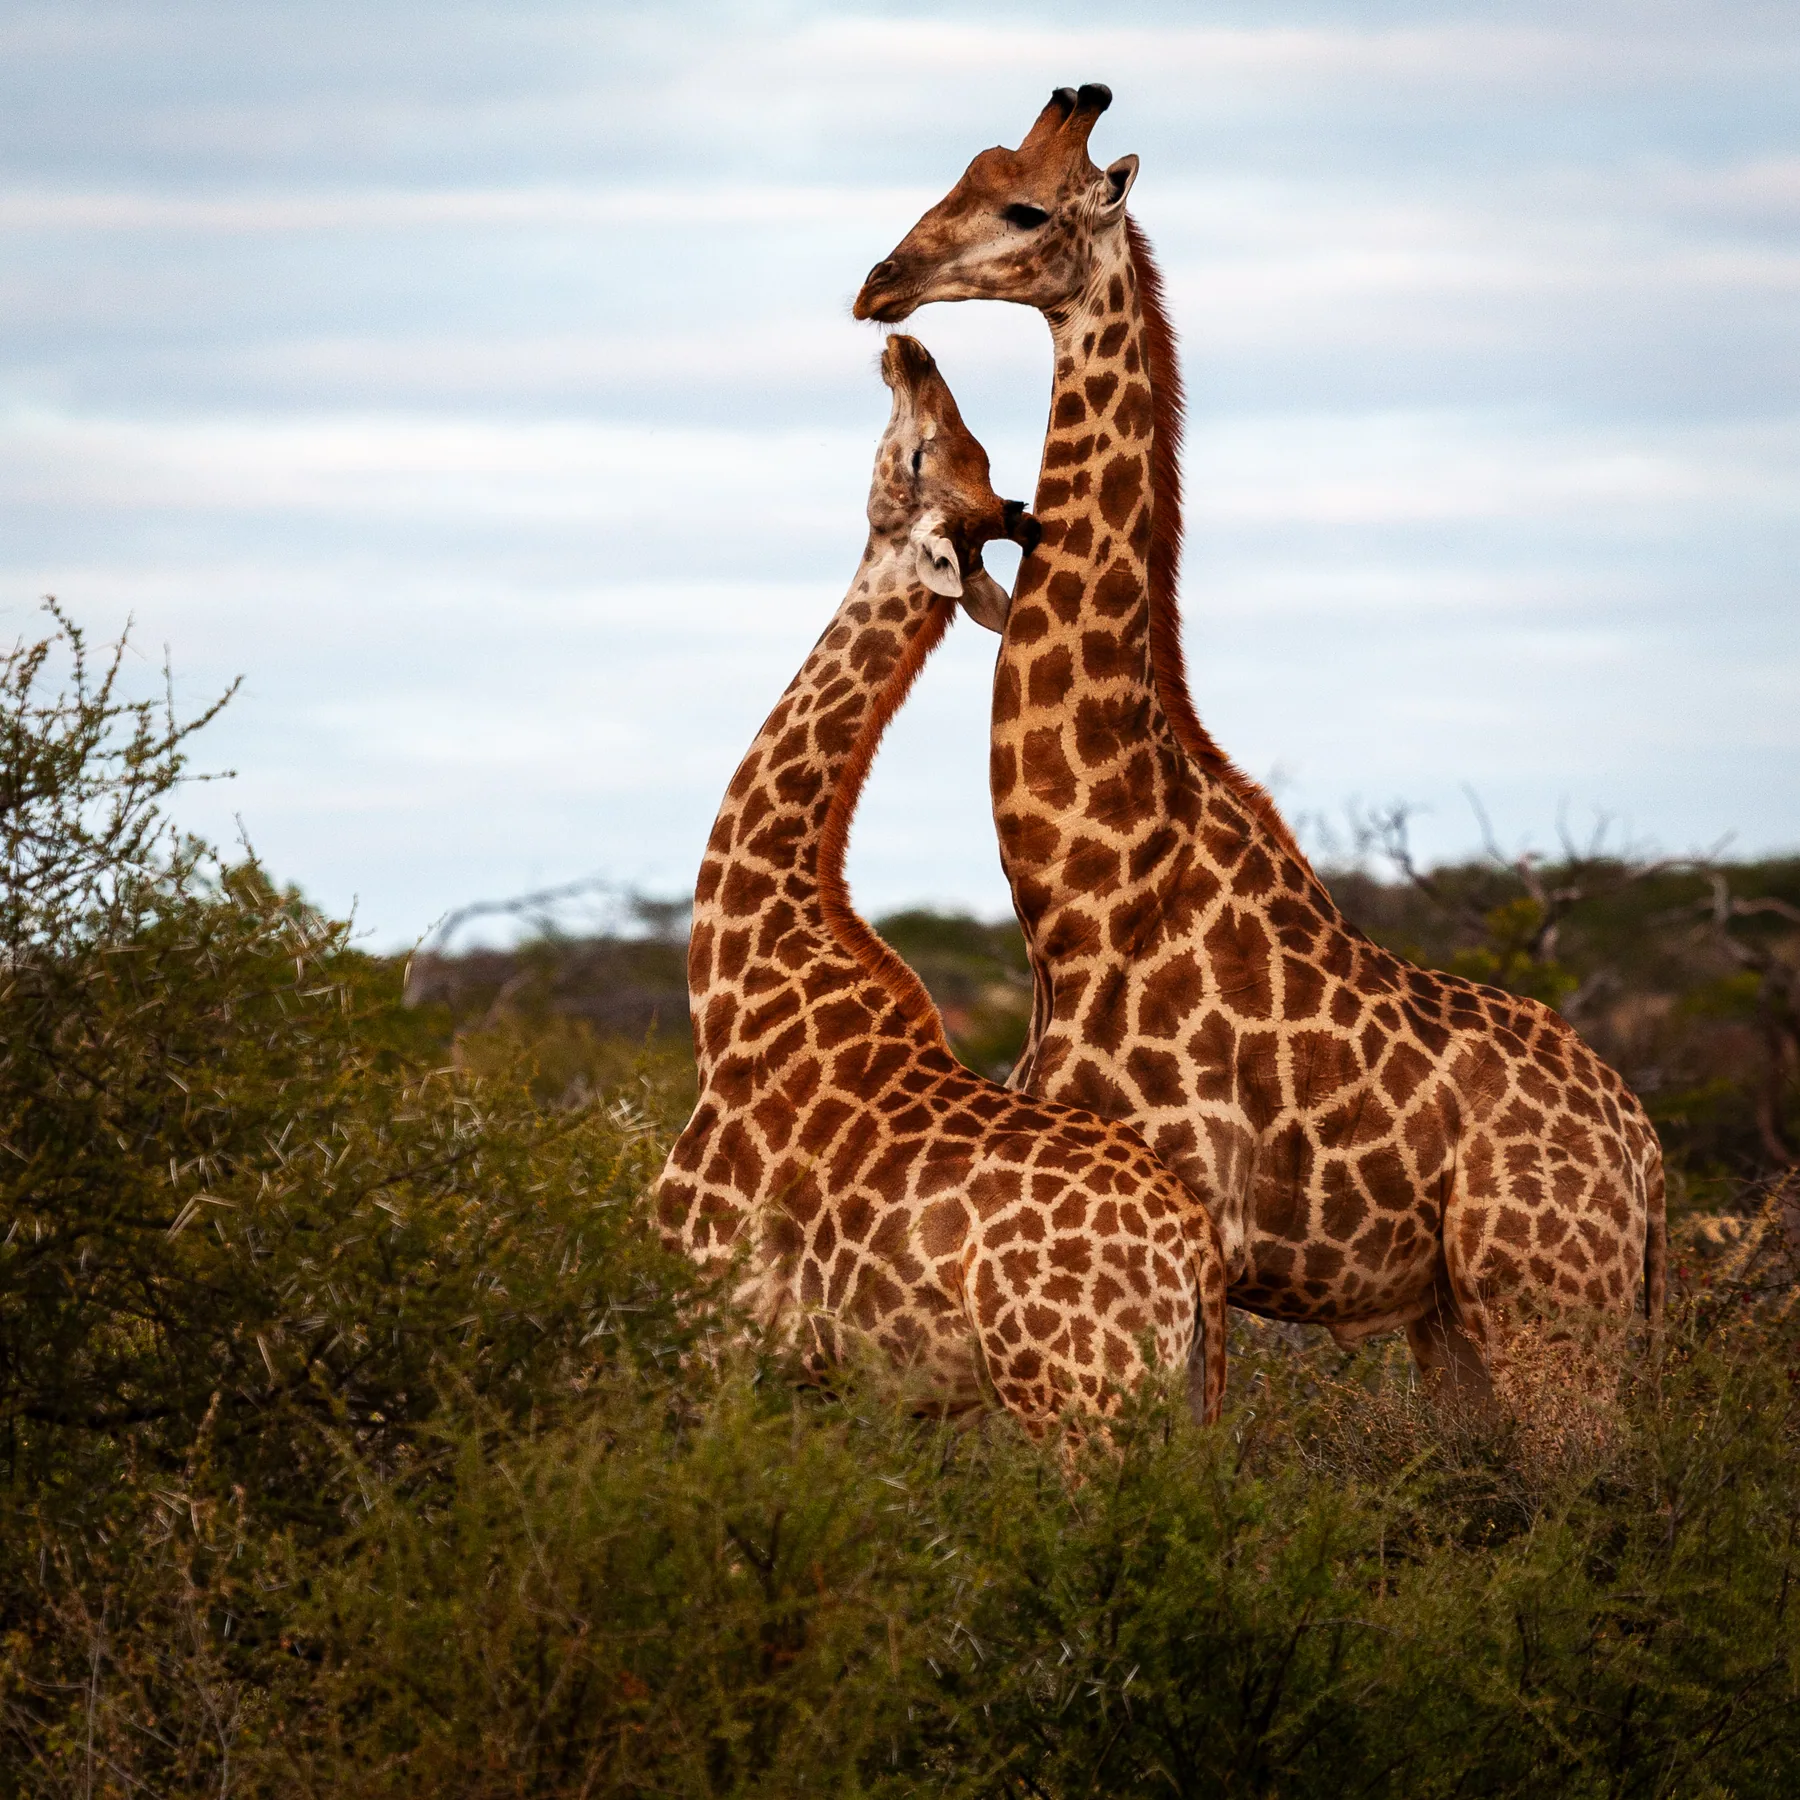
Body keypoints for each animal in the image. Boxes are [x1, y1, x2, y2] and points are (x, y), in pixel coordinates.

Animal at [655, 333, 1230, 1433]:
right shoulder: (834, 1388)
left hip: (1074, 1398)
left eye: (918, 453)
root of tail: (1199, 1264)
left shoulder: (711, 1331)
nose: (905, 346)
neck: (732, 1001)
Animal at [854, 87, 1666, 1393]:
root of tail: (1644, 1157)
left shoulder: (1196, 1235)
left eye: (1024, 207)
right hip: (1459, 1325)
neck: (1082, 893)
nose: (882, 282)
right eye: (958, 176)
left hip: (1552, 1313)